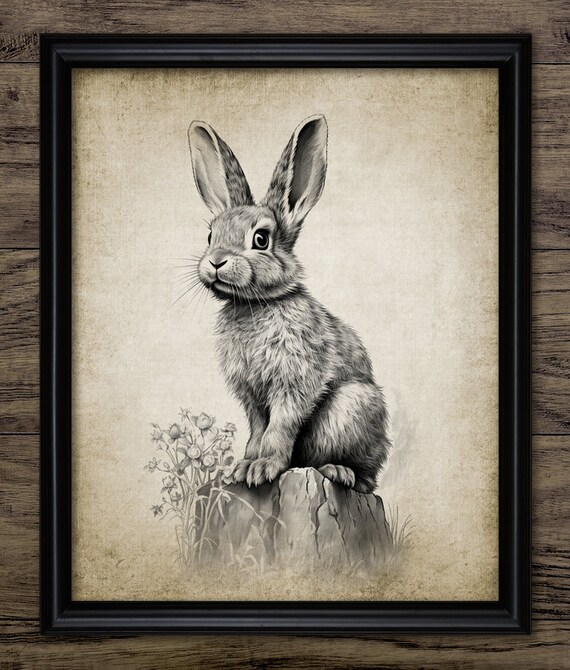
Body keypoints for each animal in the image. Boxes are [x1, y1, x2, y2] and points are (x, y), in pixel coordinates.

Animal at [187, 115, 390, 493]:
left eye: (260, 239)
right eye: (210, 235)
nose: (216, 261)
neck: (255, 304)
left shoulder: (294, 382)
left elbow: (279, 427)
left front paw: (263, 468)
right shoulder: (251, 395)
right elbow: (257, 429)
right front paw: (244, 466)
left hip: (353, 407)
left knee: (364, 478)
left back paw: (339, 471)